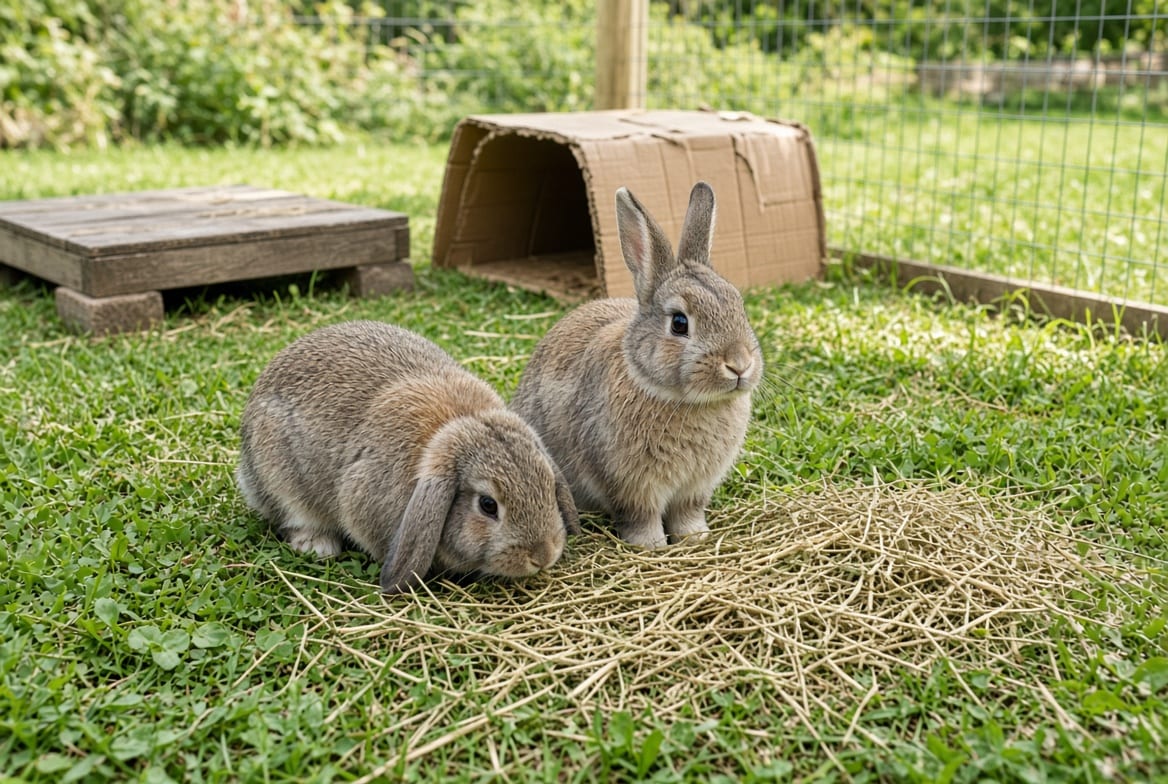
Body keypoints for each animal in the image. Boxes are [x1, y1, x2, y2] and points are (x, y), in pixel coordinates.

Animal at [236, 320, 579, 594]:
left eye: (548, 485)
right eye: (487, 505)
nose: (542, 556)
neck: (461, 421)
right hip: (279, 478)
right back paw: (317, 546)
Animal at [510, 181, 762, 550]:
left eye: (739, 307)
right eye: (679, 323)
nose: (740, 365)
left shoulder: (696, 487)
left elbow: (688, 513)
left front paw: (695, 537)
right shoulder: (629, 484)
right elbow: (640, 516)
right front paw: (651, 546)